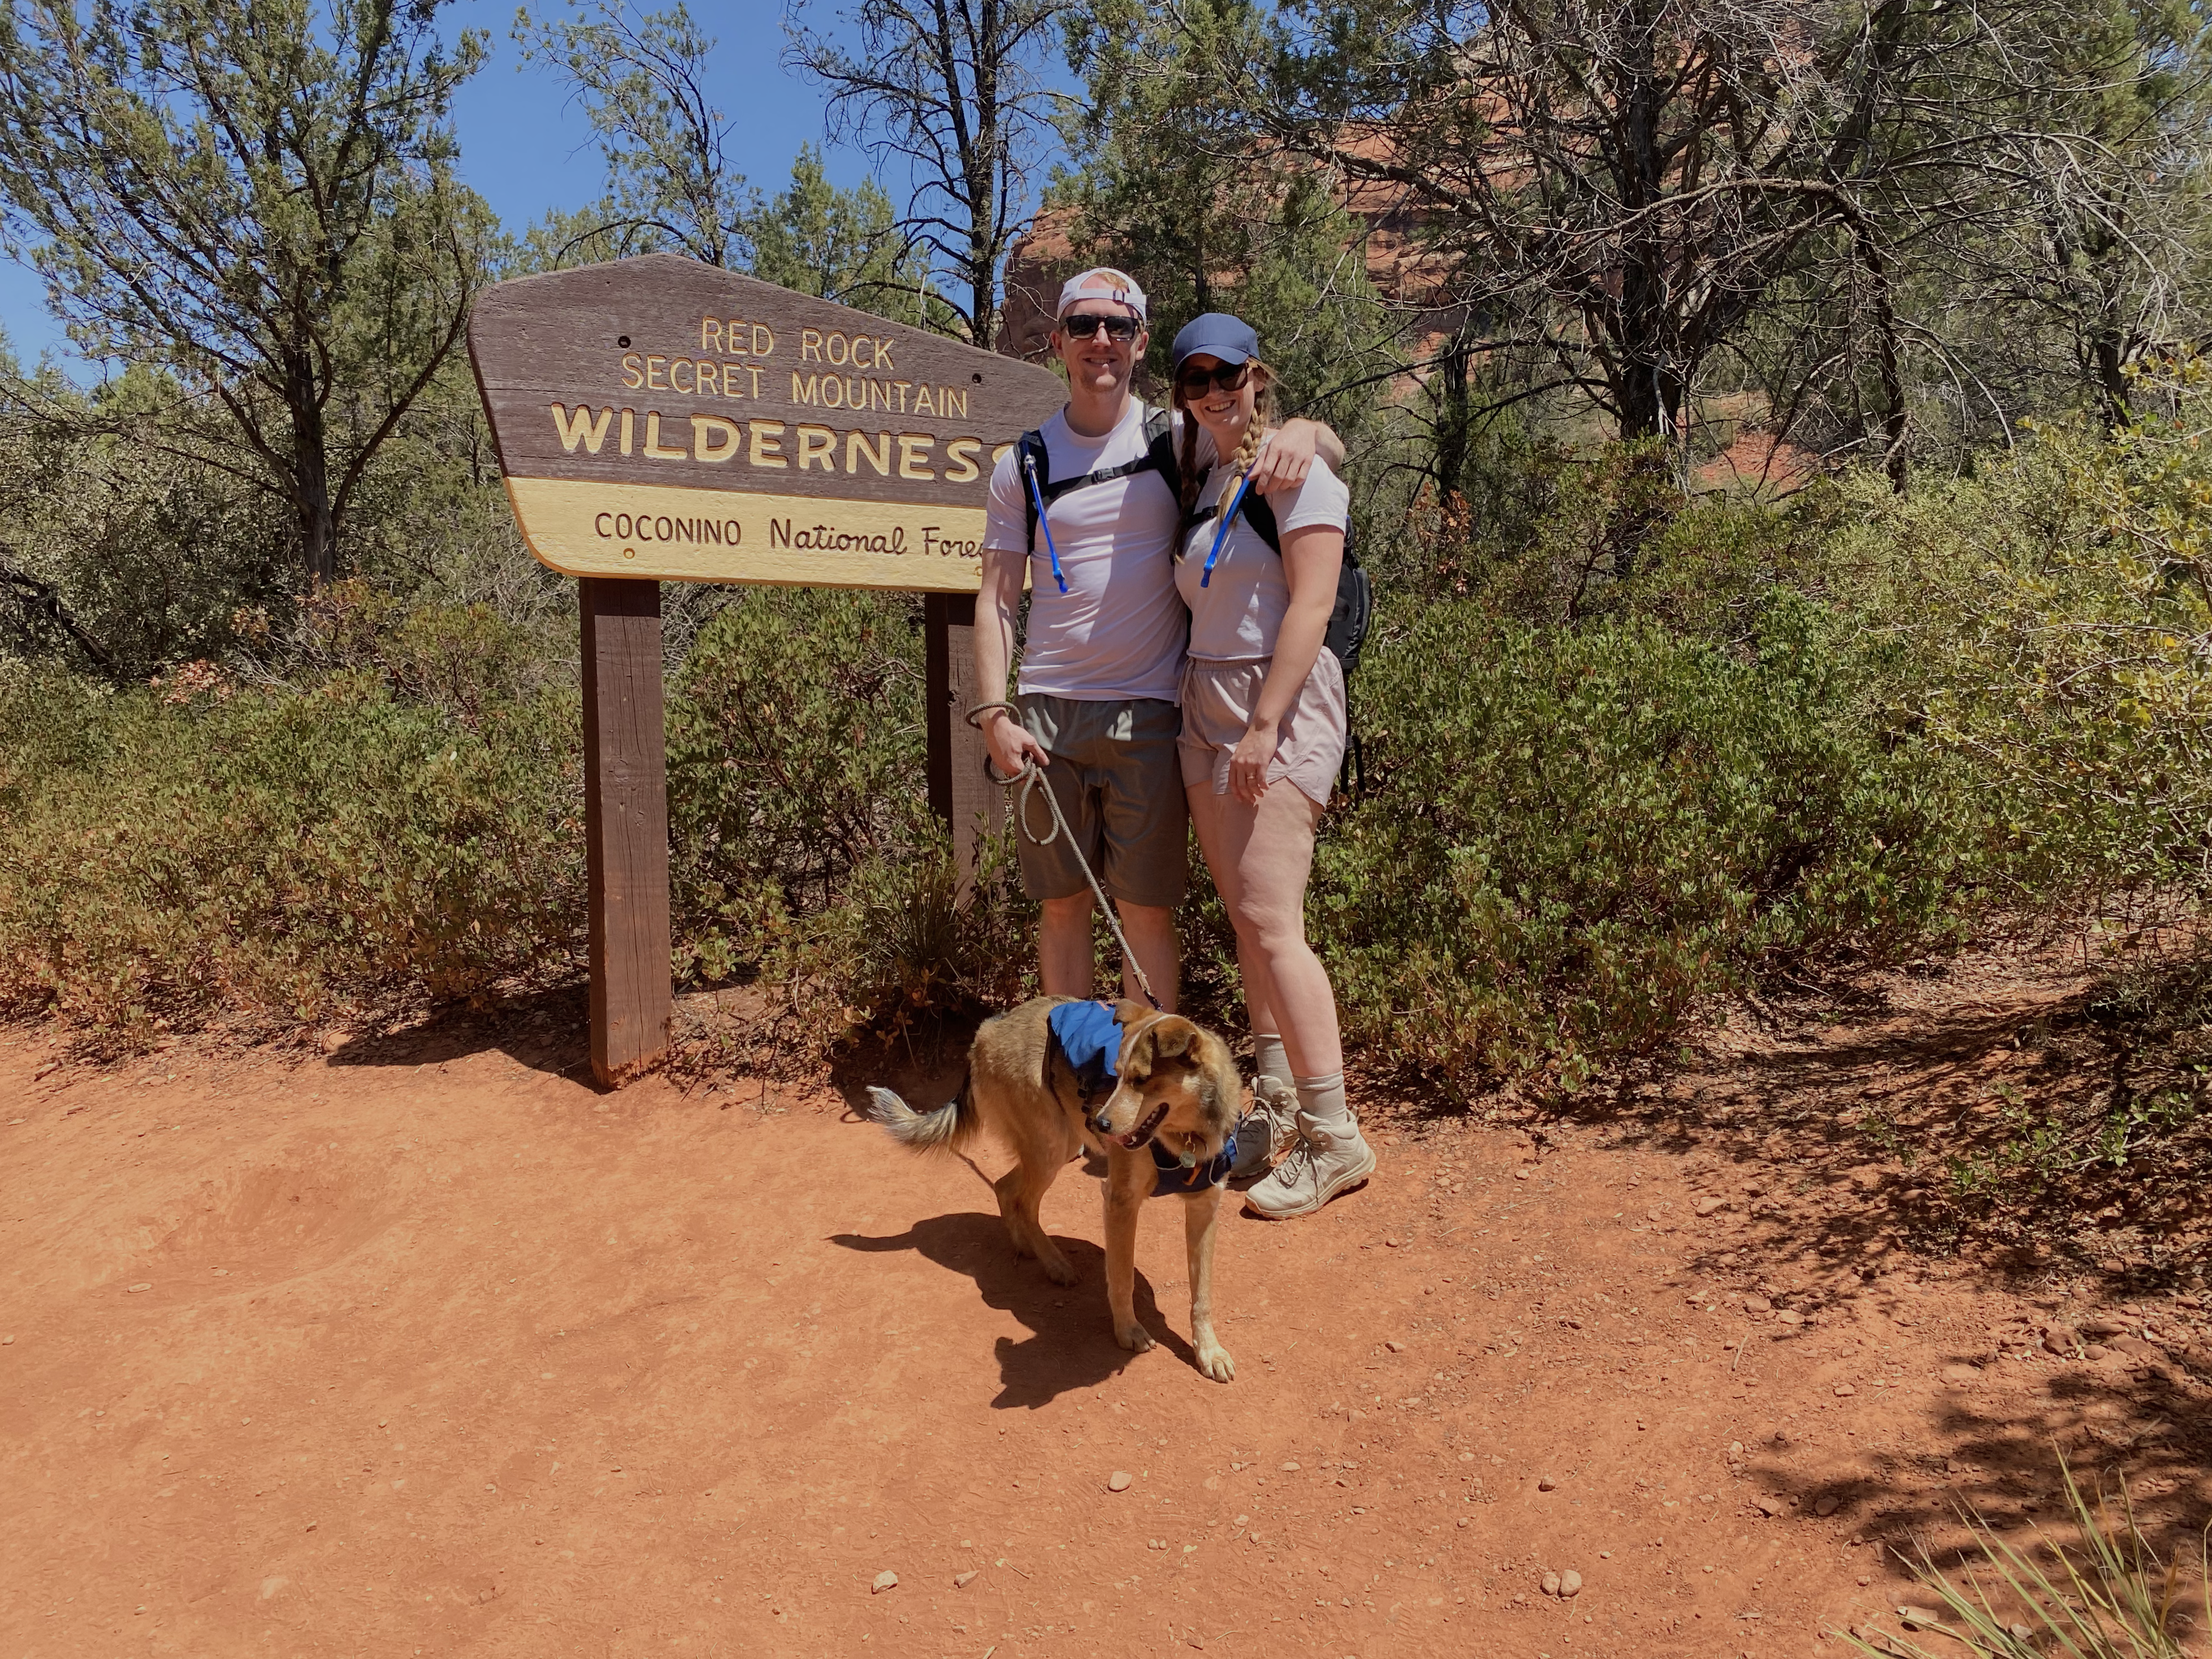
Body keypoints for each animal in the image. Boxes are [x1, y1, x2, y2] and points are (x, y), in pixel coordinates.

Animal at [863, 1000, 1247, 1380]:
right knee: (1023, 1200)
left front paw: (1208, 1352)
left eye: (1141, 1080)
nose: (1100, 1123)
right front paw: (1127, 1331)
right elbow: (1122, 1278)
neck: (1187, 1138)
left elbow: (1202, 1295)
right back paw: (1054, 1264)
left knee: (1005, 1188)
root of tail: (986, 1030)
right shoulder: (1120, 1202)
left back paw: (1024, 1245)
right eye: (1117, 1073)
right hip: (1052, 1147)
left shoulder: (1205, 1209)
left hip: (1057, 1147)